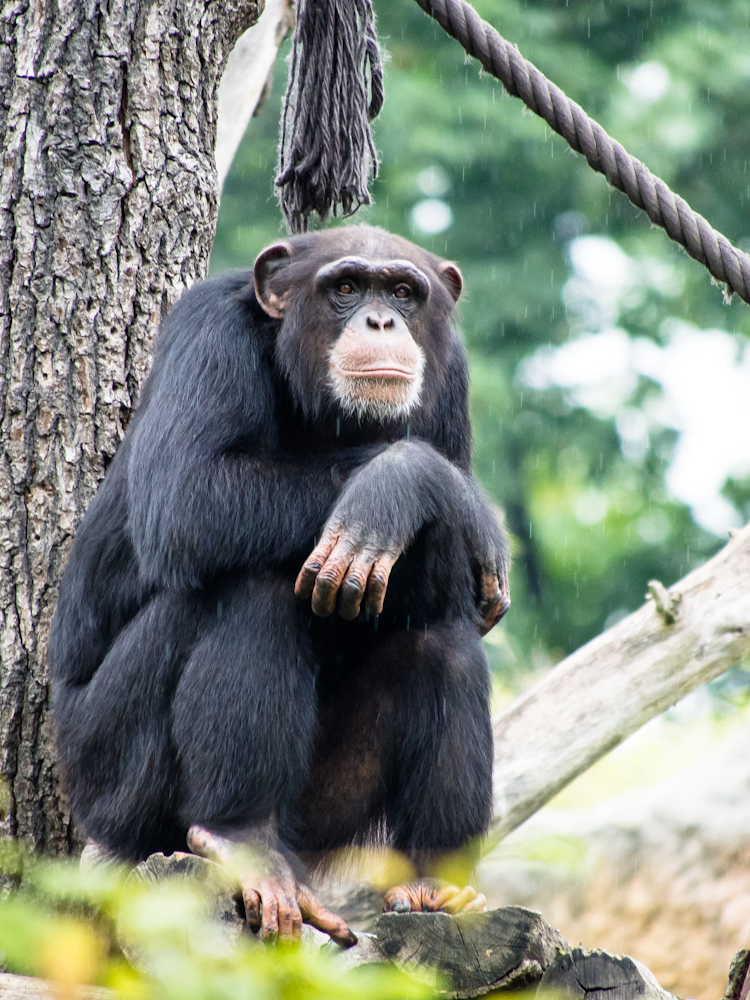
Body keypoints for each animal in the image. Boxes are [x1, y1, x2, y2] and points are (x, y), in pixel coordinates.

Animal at [50, 225, 512, 944]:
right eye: (345, 287)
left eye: (403, 293)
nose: (381, 320)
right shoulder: (207, 331)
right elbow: (189, 494)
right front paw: (413, 478)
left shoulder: (453, 377)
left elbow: (447, 581)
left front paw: (417, 499)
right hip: (106, 772)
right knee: (252, 583)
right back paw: (240, 839)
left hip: (322, 818)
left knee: (442, 639)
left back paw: (437, 883)